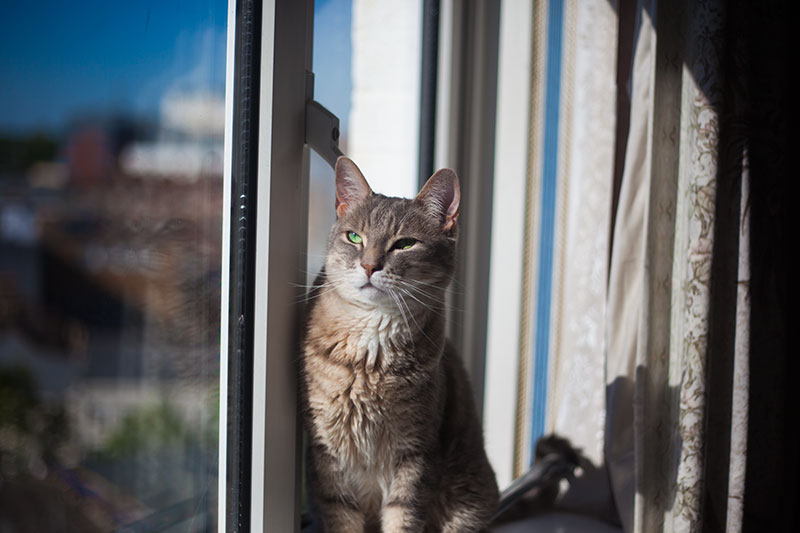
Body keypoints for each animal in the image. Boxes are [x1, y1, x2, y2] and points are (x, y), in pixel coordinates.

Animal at [300, 156, 496, 528]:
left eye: (404, 244)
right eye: (354, 237)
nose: (368, 266)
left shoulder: (416, 453)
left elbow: (403, 516)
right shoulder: (327, 452)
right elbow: (341, 516)